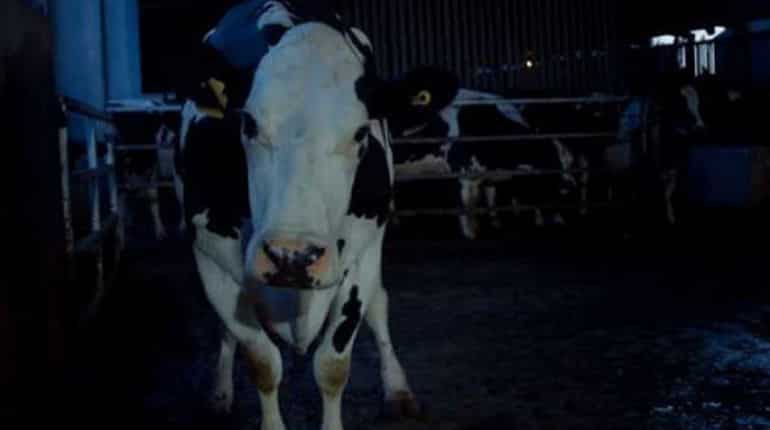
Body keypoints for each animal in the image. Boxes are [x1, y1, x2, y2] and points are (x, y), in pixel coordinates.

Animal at [176, 2, 442, 429]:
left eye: (360, 134)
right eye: (248, 123)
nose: (292, 255)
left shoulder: (358, 257)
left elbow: (332, 365)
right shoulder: (211, 258)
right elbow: (262, 361)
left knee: (379, 305)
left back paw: (399, 391)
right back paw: (219, 394)